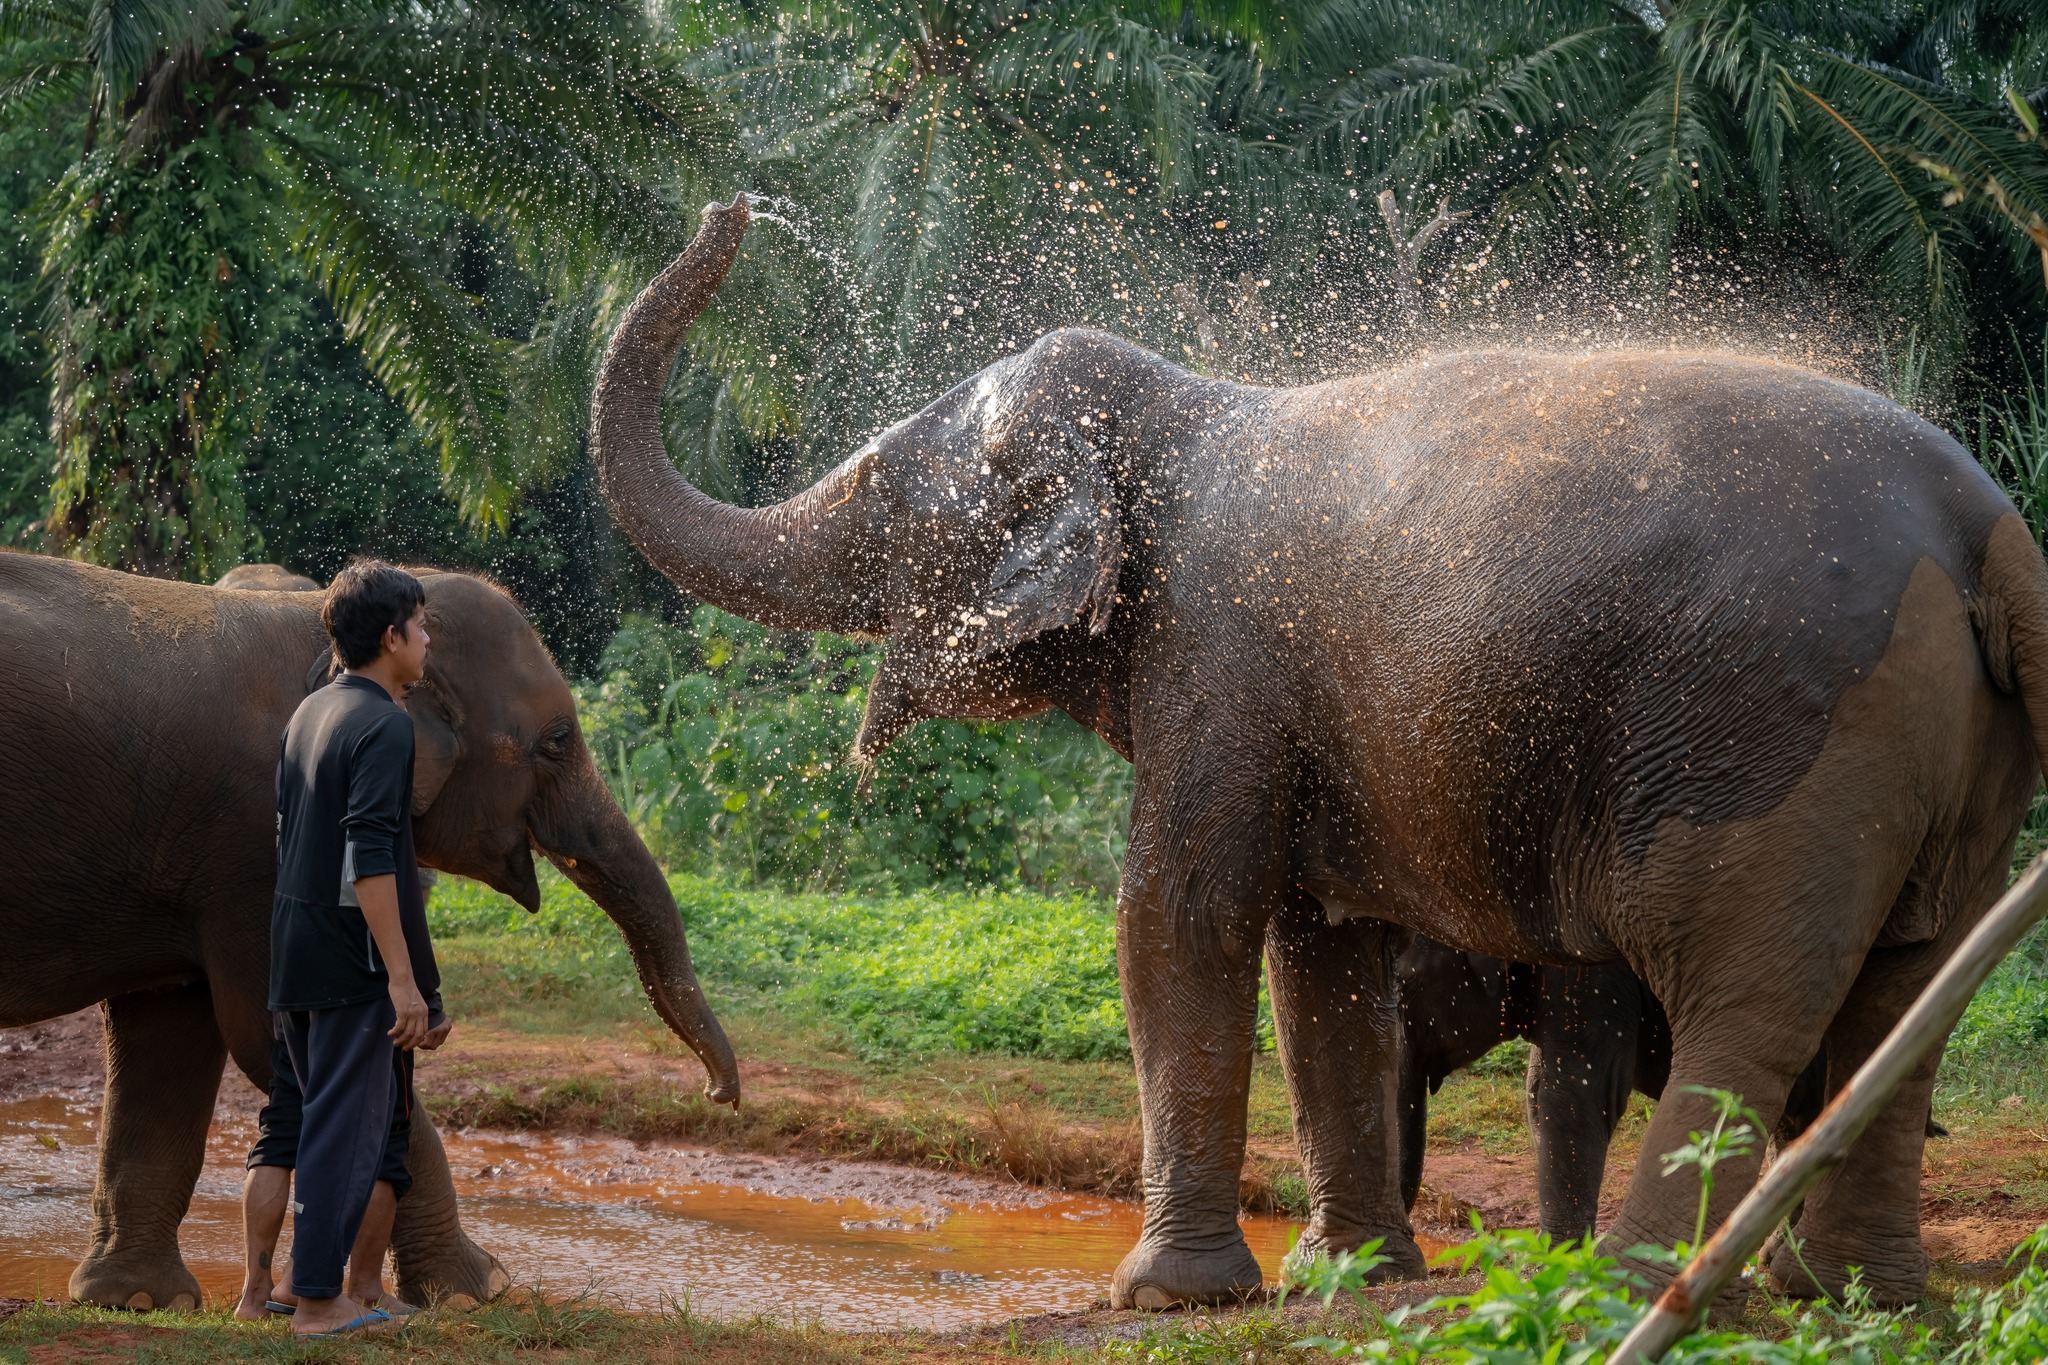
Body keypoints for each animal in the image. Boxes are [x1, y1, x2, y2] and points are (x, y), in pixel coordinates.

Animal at [0, 551, 740, 1310]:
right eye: (557, 741)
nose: (720, 1096)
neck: (312, 622)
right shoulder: (261, 846)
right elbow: (286, 1037)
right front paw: (479, 1289)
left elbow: (167, 1040)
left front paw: (140, 1300)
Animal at [587, 196, 2048, 1310]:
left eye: (888, 491)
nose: (731, 212)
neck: (1181, 407)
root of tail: (1990, 531)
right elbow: (1318, 958)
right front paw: (1349, 1282)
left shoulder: (1217, 665)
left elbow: (1175, 923)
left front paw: (1168, 1297)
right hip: (1964, 771)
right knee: (1905, 998)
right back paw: (1860, 1301)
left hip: (1767, 751)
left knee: (1746, 1002)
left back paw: (1631, 1292)